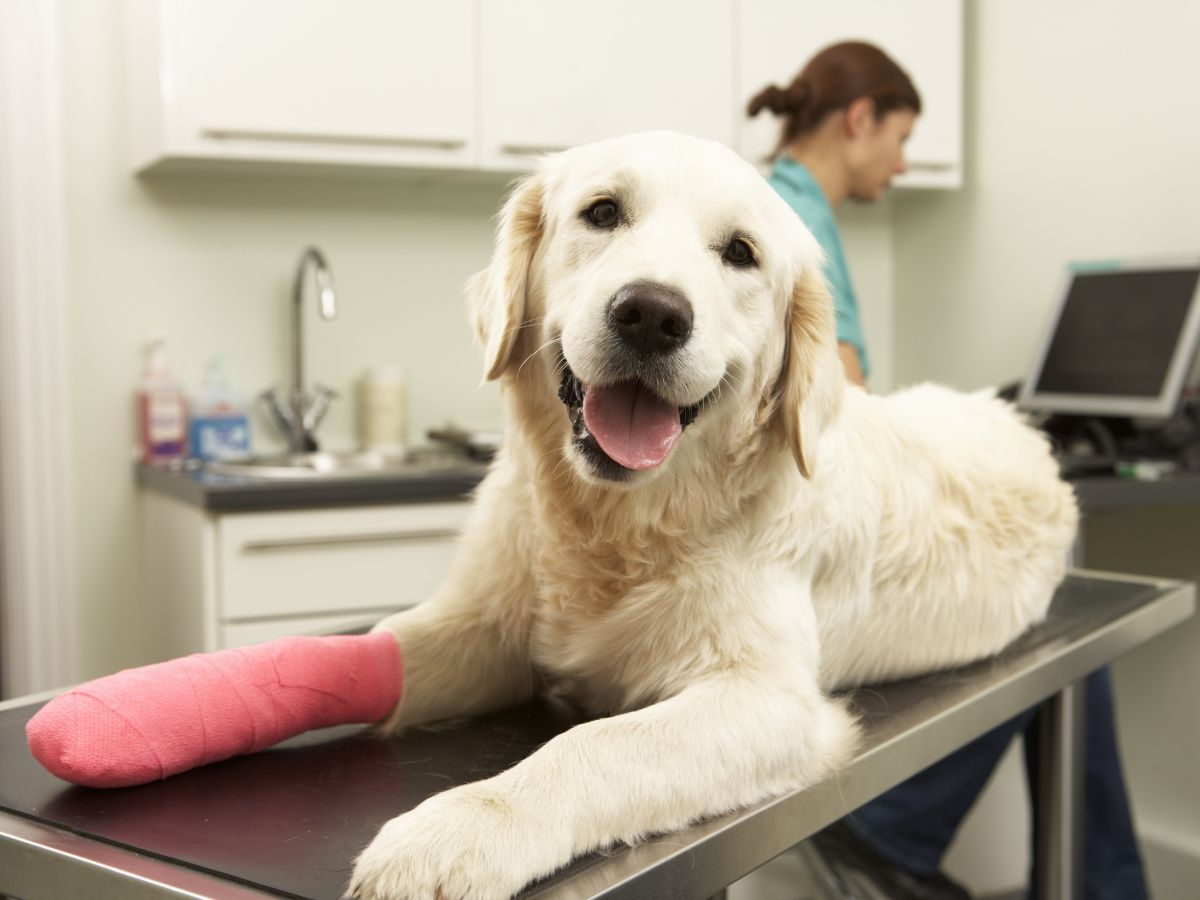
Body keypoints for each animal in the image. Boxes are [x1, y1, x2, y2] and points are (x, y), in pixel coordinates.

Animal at [345, 132, 1080, 900]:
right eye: (602, 212)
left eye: (740, 252)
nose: (651, 314)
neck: (619, 524)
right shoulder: (485, 626)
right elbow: (387, 646)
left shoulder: (770, 699)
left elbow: (596, 743)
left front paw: (456, 830)